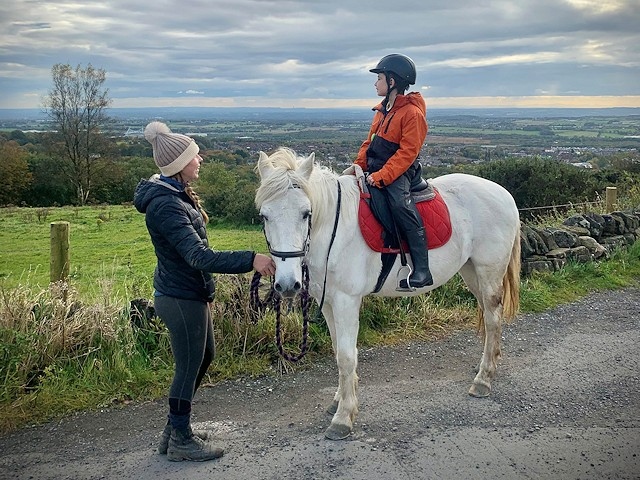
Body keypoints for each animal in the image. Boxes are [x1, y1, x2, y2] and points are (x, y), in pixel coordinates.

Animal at [255, 148, 520, 440]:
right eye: (264, 216)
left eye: (305, 213)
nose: (287, 284)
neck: (332, 230)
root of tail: (504, 193)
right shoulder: (328, 303)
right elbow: (338, 351)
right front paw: (339, 399)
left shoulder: (346, 301)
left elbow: (347, 356)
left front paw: (343, 417)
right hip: (470, 271)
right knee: (486, 314)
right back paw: (486, 364)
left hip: (488, 270)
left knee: (493, 318)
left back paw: (484, 379)